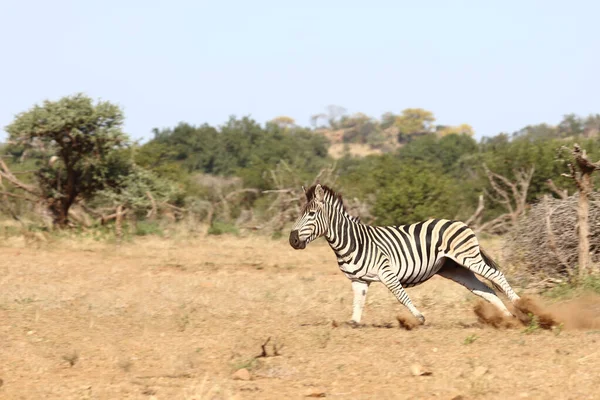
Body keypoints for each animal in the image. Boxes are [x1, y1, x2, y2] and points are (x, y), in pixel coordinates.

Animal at [290, 184, 520, 324]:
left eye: (311, 214)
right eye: (301, 214)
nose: (292, 240)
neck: (353, 241)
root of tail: (461, 223)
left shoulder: (386, 272)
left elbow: (400, 296)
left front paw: (419, 318)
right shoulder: (358, 280)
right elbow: (358, 303)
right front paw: (353, 323)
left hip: (468, 257)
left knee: (496, 276)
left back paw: (519, 305)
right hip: (455, 268)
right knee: (484, 289)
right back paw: (507, 316)